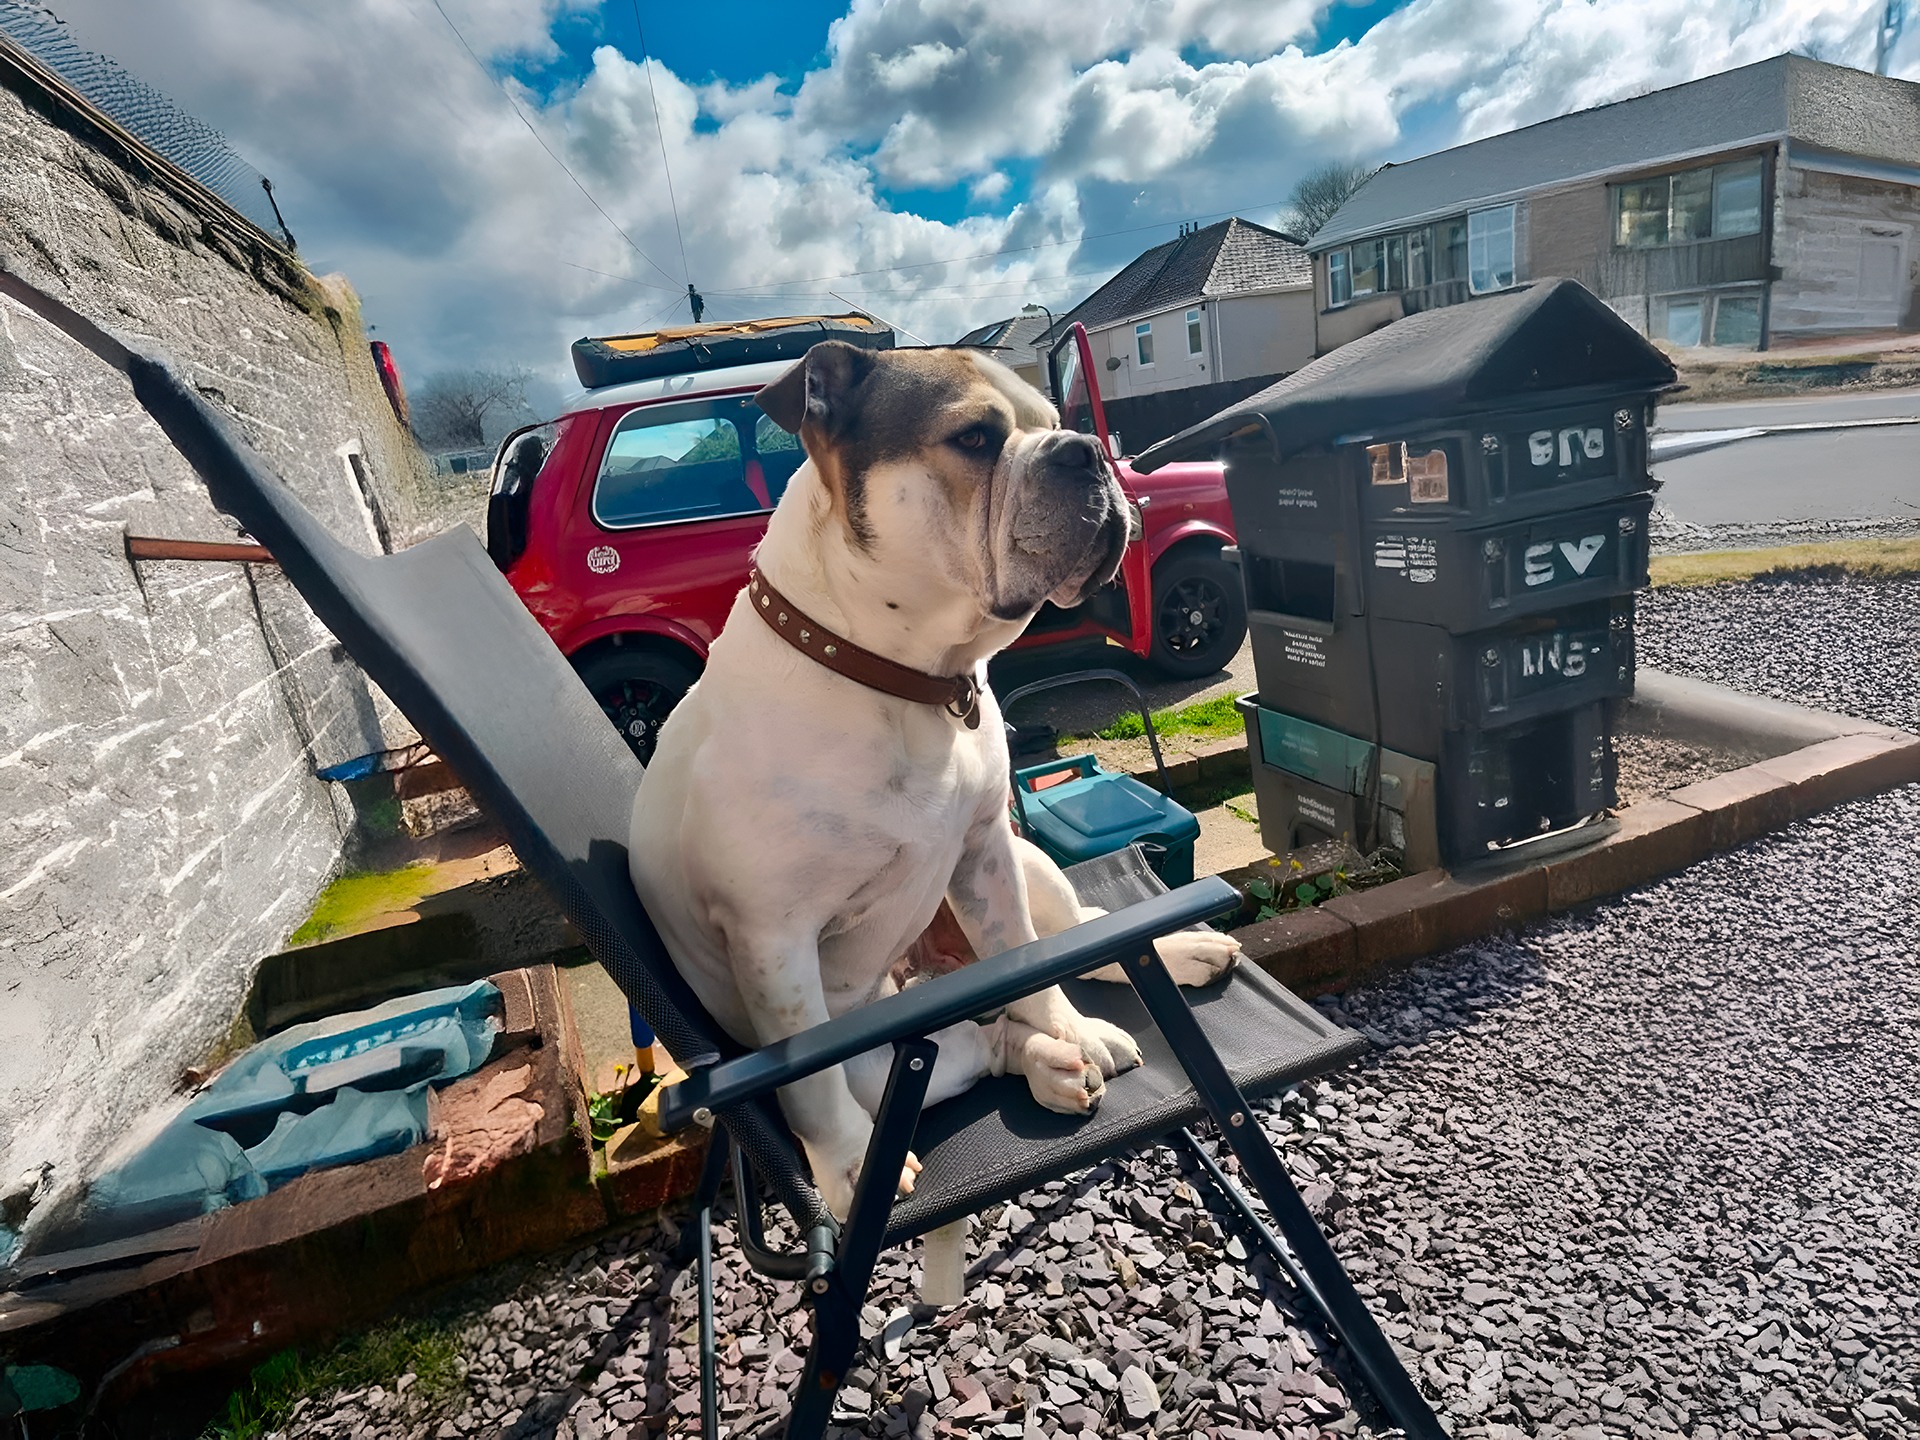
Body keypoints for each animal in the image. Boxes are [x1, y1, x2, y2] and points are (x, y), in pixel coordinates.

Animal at [622, 343, 1236, 1221]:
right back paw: (1051, 1068)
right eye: (975, 438)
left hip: (1032, 864)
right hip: (882, 1062)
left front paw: (1074, 1026)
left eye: (1053, 421)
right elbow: (812, 1083)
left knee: (1079, 934)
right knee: (973, 1046)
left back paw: (1162, 963)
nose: (1084, 450)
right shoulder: (772, 938)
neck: (905, 677)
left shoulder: (987, 852)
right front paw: (848, 1166)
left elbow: (1029, 958)